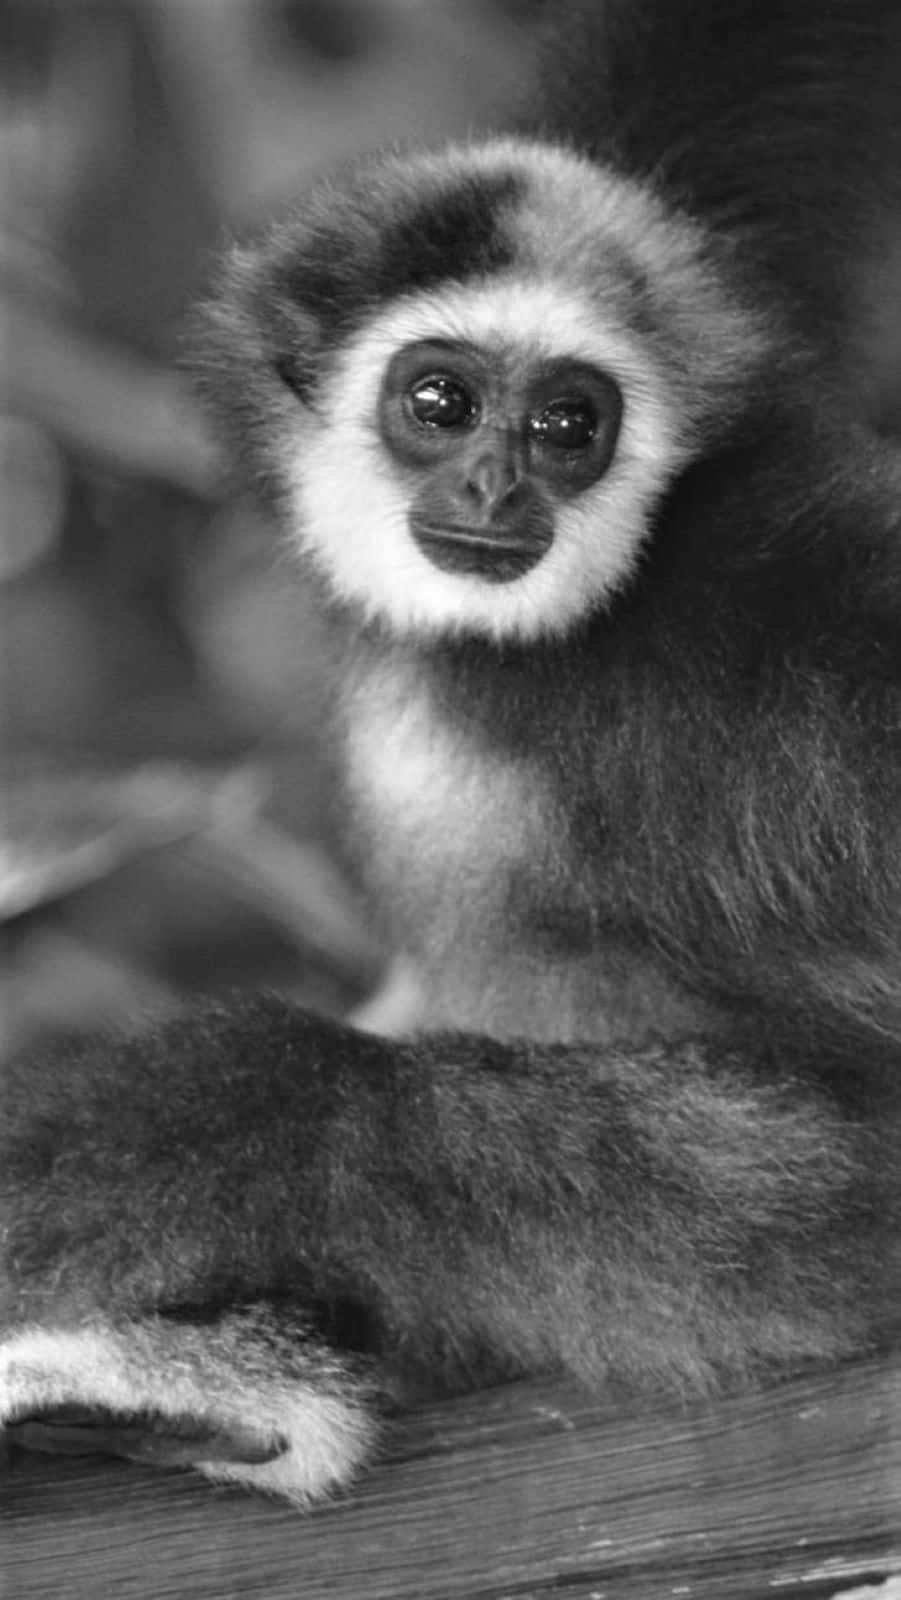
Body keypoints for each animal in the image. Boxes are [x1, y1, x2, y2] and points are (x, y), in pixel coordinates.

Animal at [3, 0, 901, 1506]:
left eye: (568, 423)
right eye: (437, 401)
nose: (495, 483)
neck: (518, 653)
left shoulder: (747, 607)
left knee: (308, 1102)